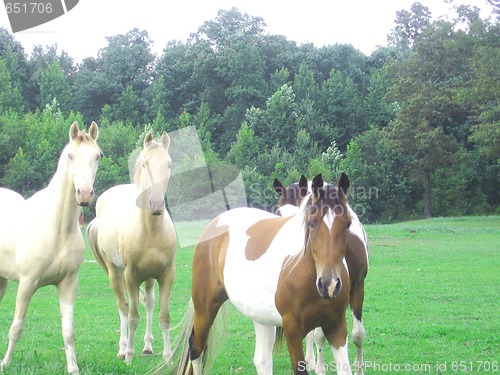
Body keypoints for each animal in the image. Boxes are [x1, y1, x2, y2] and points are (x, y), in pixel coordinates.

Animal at [0, 122, 101, 374]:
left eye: (97, 156)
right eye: (71, 156)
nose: (84, 194)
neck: (57, 228)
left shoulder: (68, 284)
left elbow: (68, 331)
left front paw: (73, 368)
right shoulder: (27, 283)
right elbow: (16, 328)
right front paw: (5, 363)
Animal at [87, 131, 177, 364]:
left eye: (169, 164)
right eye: (145, 164)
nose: (156, 205)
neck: (150, 231)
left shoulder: (166, 274)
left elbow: (164, 316)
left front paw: (167, 357)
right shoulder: (131, 275)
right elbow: (133, 316)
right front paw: (128, 356)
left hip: (148, 278)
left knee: (148, 303)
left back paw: (147, 346)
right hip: (116, 273)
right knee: (123, 306)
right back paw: (122, 348)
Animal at [170, 175, 354, 374]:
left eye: (348, 224)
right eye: (311, 223)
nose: (329, 285)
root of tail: (214, 224)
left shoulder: (336, 326)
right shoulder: (292, 330)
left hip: (261, 317)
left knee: (262, 360)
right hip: (205, 308)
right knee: (196, 349)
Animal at [274, 176, 368, 375]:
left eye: (348, 223)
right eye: (277, 215)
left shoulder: (358, 287)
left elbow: (358, 335)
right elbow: (318, 336)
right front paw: (318, 366)